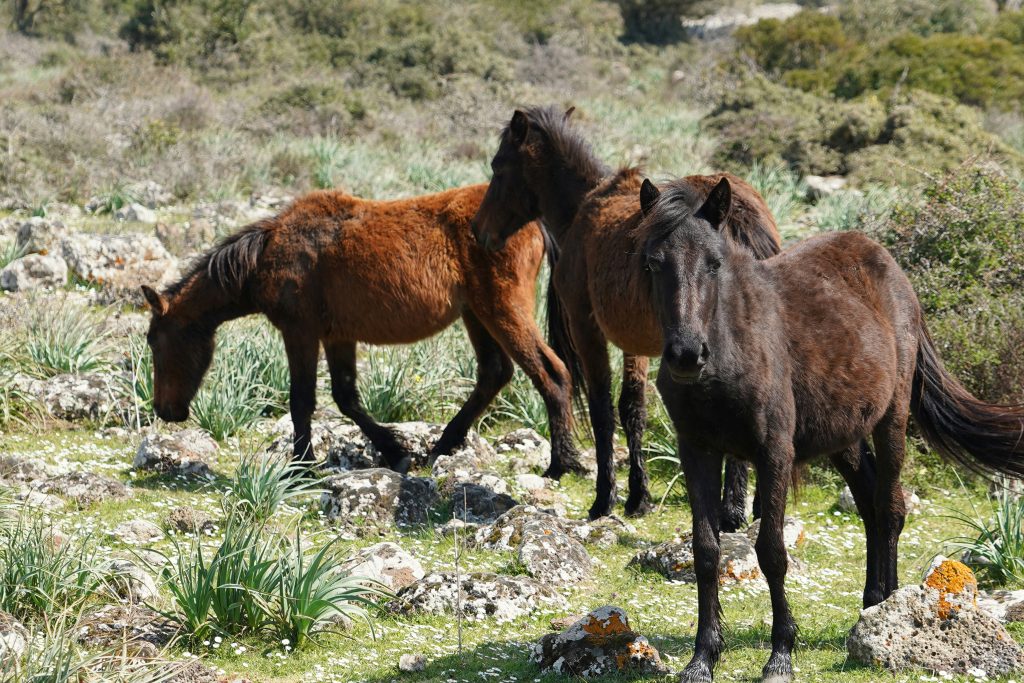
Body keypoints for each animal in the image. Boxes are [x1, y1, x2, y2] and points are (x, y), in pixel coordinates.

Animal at [140, 184, 580, 475]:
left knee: (551, 374)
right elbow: (346, 397)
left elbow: (302, 400)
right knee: (494, 373)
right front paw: (395, 452)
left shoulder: (300, 333)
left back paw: (561, 464)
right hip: (477, 314)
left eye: (155, 342)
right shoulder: (337, 336)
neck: (267, 253)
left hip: (502, 311)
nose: (164, 410)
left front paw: (301, 466)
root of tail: (534, 223)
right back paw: (441, 446)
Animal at [472, 105, 782, 524]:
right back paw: (753, 505)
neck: (582, 207)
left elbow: (603, 408)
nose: (479, 230)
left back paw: (731, 509)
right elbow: (633, 407)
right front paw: (639, 496)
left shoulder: (588, 328)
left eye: (498, 165)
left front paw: (605, 498)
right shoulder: (635, 341)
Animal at [639, 176, 1024, 683]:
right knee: (870, 506)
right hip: (844, 437)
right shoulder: (697, 451)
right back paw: (872, 603)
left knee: (890, 507)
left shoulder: (774, 452)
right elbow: (705, 552)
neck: (730, 350)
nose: (686, 355)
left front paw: (780, 653)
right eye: (653, 263)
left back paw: (891, 607)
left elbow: (771, 551)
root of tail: (888, 265)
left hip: (891, 419)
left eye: (714, 263)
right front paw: (703, 657)